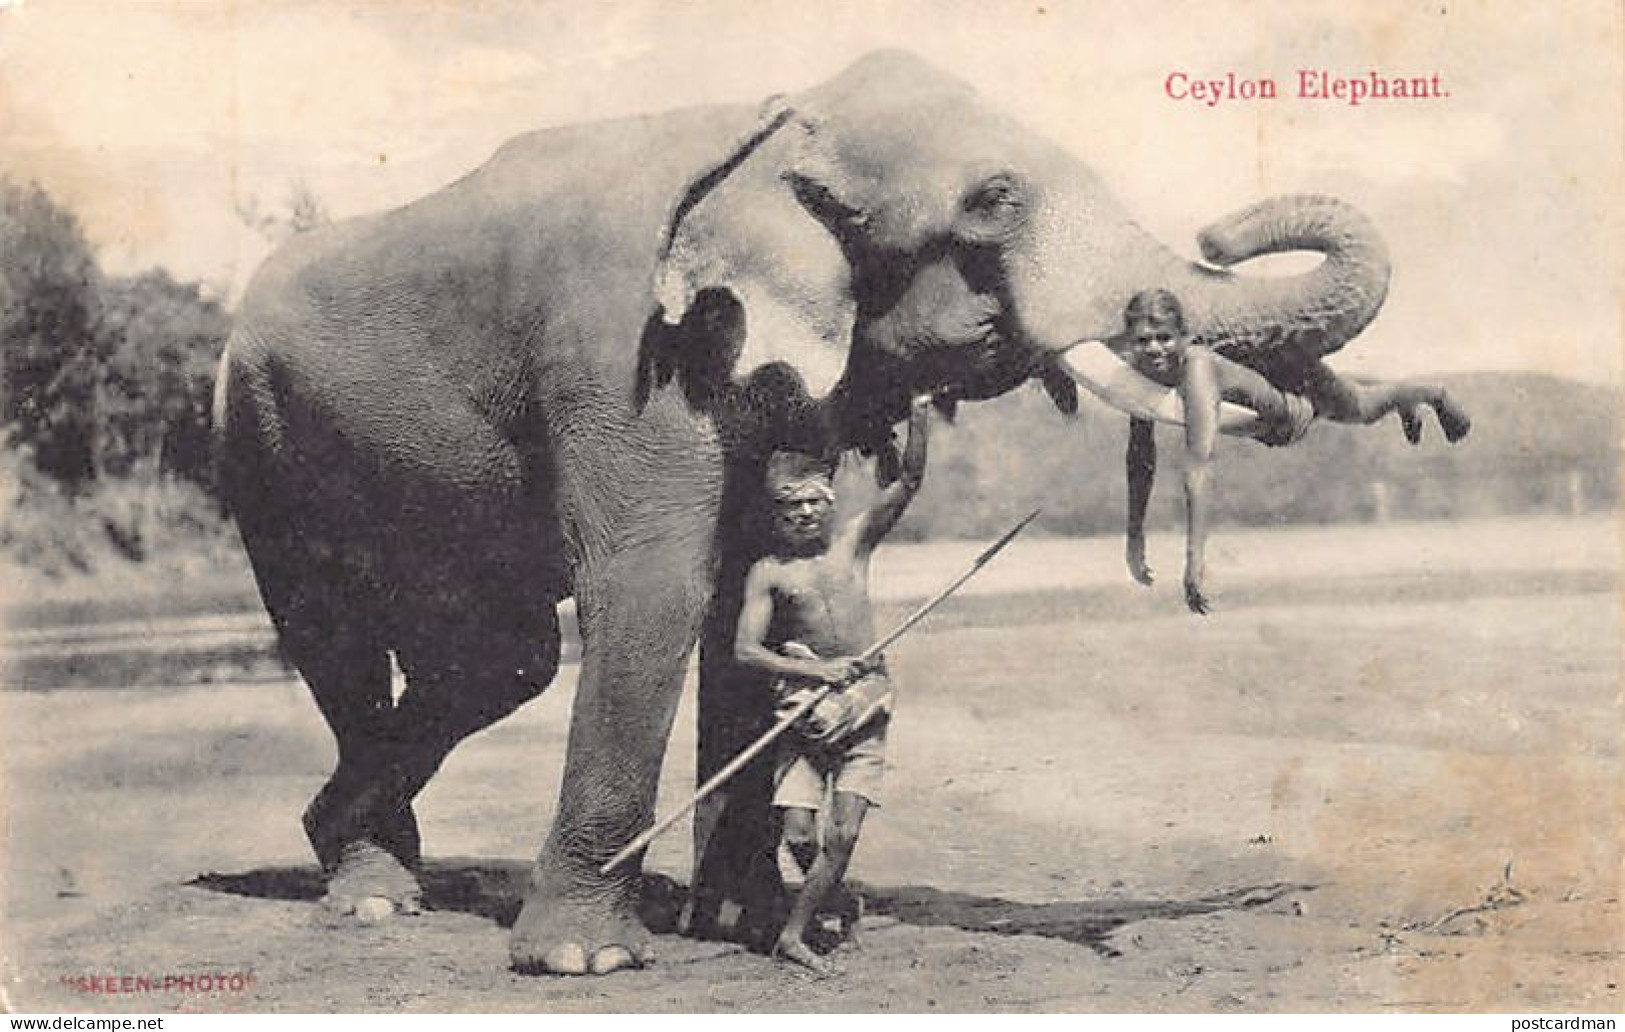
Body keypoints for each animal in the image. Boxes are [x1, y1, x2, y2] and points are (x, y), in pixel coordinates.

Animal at [214, 49, 1399, 975]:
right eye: (994, 199)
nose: (1217, 235)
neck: (774, 123)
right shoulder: (624, 354)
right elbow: (658, 584)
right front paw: (586, 960)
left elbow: (739, 581)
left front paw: (734, 926)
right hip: (258, 442)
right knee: (344, 630)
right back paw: (371, 893)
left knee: (499, 660)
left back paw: (367, 859)